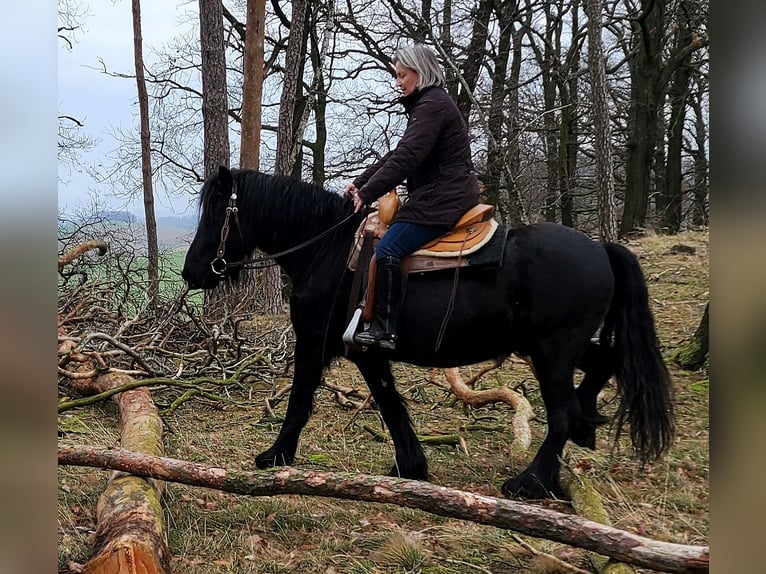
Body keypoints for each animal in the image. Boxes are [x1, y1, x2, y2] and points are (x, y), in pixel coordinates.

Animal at [183, 166, 676, 500]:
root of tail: (602, 249)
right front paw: (411, 465)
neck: (327, 250)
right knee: (605, 364)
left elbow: (302, 401)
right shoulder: (367, 353)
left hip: (552, 353)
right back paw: (584, 432)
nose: (191, 272)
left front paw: (275, 457)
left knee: (562, 415)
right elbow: (390, 404)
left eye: (216, 213)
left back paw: (531, 482)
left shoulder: (317, 344)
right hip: (555, 347)